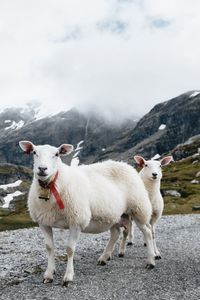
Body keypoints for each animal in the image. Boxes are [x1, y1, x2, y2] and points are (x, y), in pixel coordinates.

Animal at [18, 141, 155, 286]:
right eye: (34, 152)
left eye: (56, 154)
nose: (42, 169)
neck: (53, 184)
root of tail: (126, 165)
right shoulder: (44, 222)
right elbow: (49, 248)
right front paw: (49, 274)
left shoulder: (76, 221)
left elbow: (70, 249)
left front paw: (68, 276)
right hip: (115, 215)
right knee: (115, 234)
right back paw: (104, 258)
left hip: (139, 208)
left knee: (147, 232)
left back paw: (151, 261)